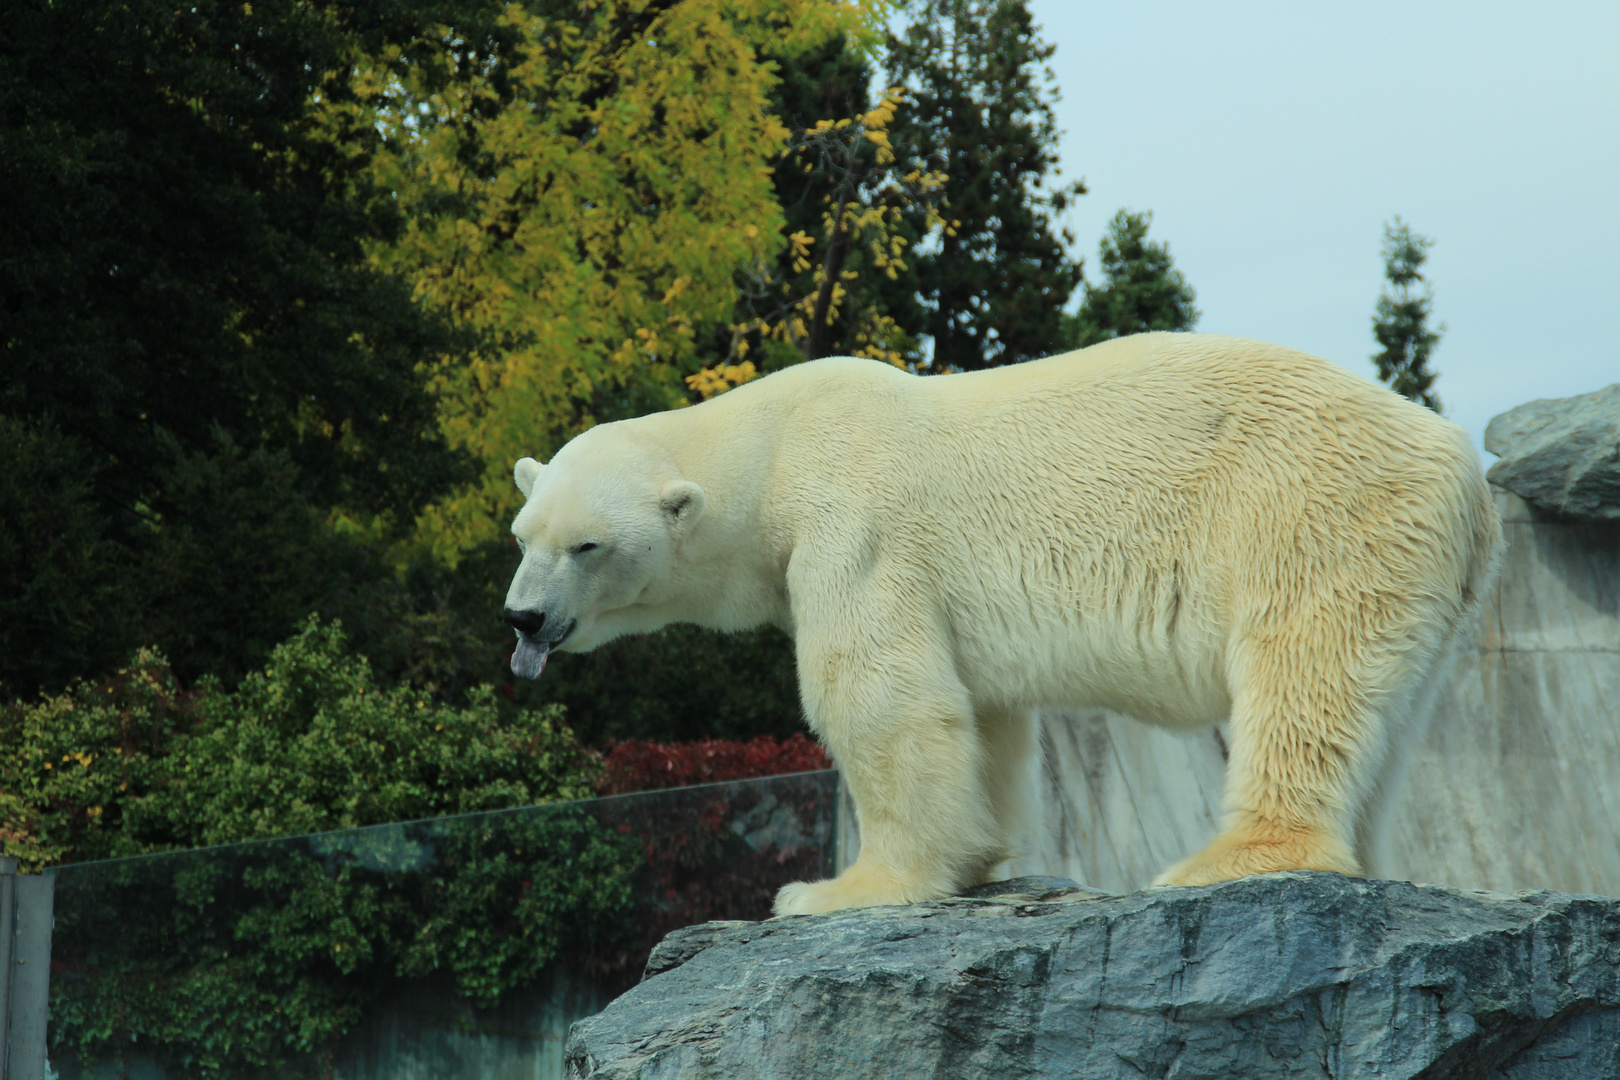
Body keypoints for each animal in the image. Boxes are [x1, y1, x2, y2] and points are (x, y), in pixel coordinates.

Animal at [498, 335, 1496, 913]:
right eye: (520, 535)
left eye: (587, 545)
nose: (523, 617)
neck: (774, 444)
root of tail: (1463, 468)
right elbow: (983, 717)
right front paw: (979, 858)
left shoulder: (853, 518)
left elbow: (879, 696)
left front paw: (836, 890)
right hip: (1414, 572)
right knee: (1380, 714)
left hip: (1315, 513)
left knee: (1305, 675)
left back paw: (1232, 859)